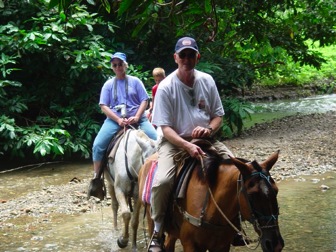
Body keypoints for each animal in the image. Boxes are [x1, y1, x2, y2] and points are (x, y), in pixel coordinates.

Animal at [138, 146, 284, 252]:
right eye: (252, 195)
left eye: (276, 190)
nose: (275, 244)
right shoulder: (190, 245)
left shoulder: (222, 246)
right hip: (151, 219)